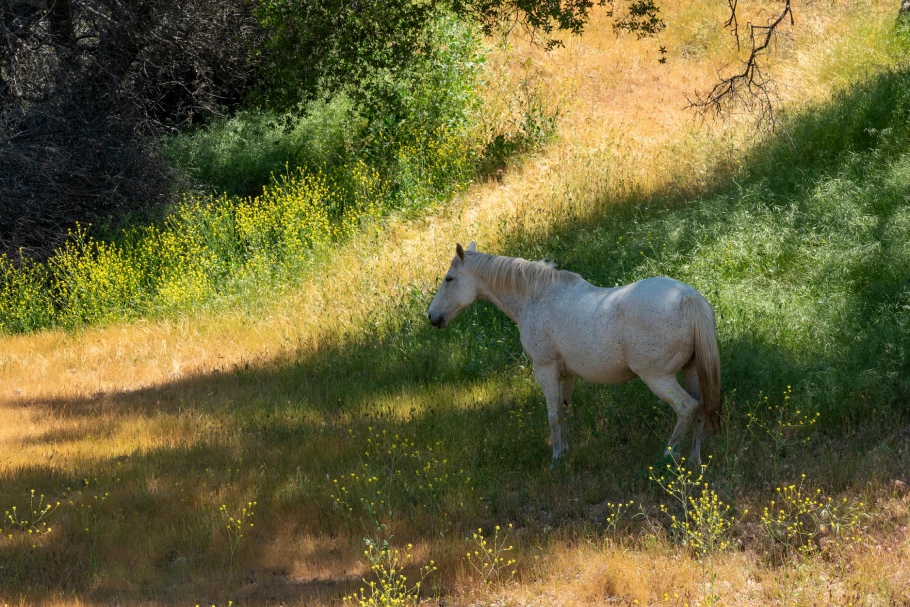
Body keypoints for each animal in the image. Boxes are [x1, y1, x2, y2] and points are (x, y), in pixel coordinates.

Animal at [432, 241, 724, 466]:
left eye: (449, 279)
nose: (432, 316)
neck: (535, 298)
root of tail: (688, 298)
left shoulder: (545, 370)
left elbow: (552, 415)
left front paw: (556, 460)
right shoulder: (567, 375)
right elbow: (563, 412)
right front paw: (565, 452)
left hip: (658, 378)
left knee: (687, 408)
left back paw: (667, 456)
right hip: (691, 371)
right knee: (700, 408)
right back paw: (695, 459)